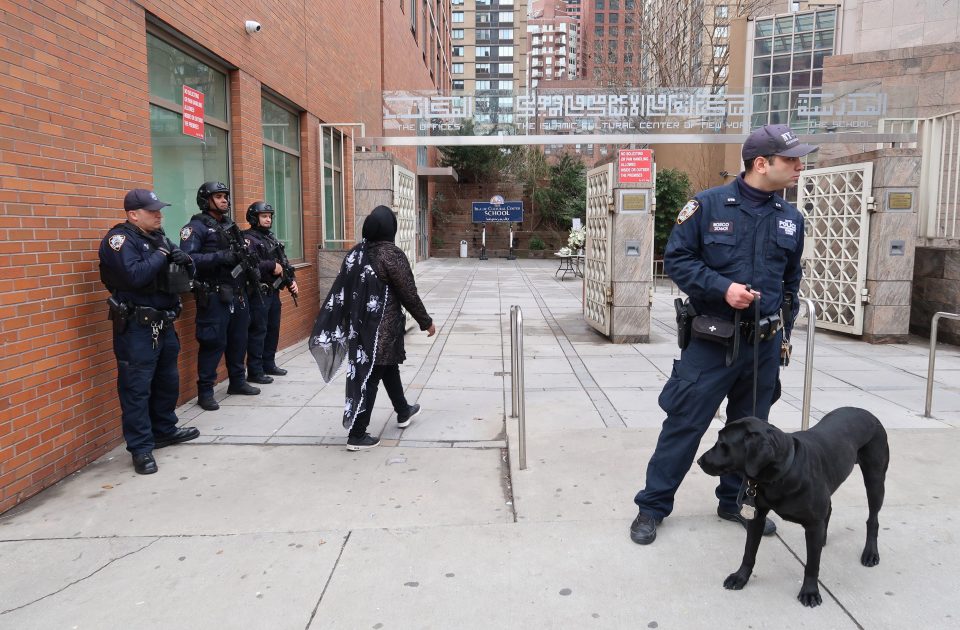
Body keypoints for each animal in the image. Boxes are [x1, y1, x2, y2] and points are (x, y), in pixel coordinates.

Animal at [692, 408, 888, 608]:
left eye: (722, 444)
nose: (699, 461)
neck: (782, 473)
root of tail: (867, 413)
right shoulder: (757, 517)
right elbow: (748, 552)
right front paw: (741, 577)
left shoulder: (813, 524)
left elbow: (812, 565)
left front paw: (810, 591)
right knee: (830, 510)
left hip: (875, 480)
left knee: (873, 519)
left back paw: (870, 553)